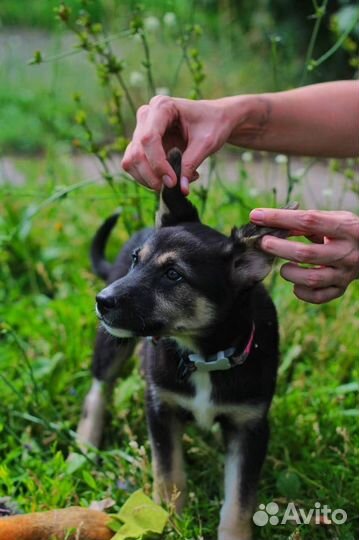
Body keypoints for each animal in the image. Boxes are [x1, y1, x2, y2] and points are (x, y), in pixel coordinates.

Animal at [76, 150, 296, 540]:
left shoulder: (250, 425)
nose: (101, 300)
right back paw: (85, 444)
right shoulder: (161, 408)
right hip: (113, 342)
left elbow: (239, 500)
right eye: (136, 260)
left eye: (173, 275)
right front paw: (169, 522)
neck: (204, 356)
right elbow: (169, 475)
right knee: (100, 386)